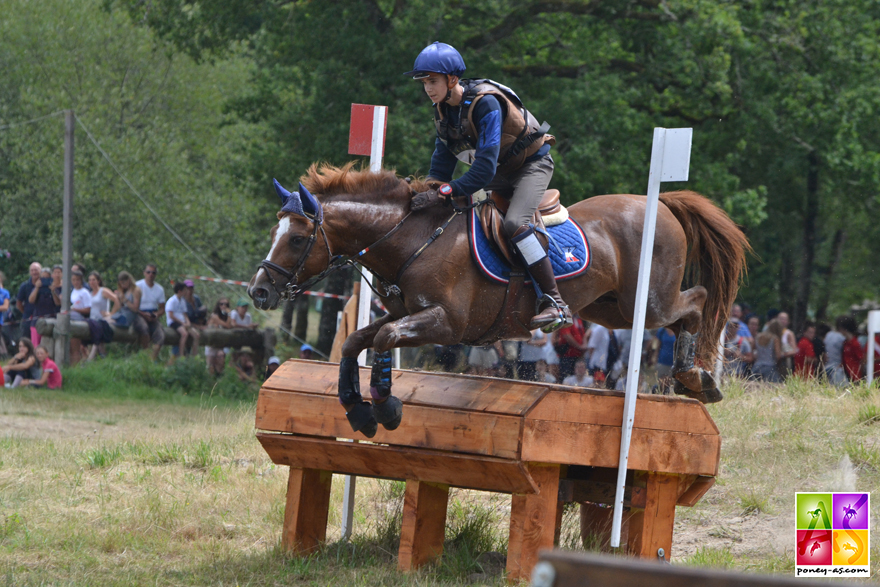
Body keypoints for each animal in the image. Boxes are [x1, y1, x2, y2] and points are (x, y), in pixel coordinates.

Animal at [248, 161, 748, 436]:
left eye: (296, 238)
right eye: (275, 230)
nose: (258, 290)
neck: (412, 239)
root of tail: (662, 203)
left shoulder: (445, 323)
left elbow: (385, 339)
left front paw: (386, 408)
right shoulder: (407, 314)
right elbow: (357, 342)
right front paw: (358, 409)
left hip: (650, 300)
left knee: (698, 301)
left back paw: (696, 376)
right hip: (611, 309)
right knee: (682, 312)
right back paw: (694, 379)